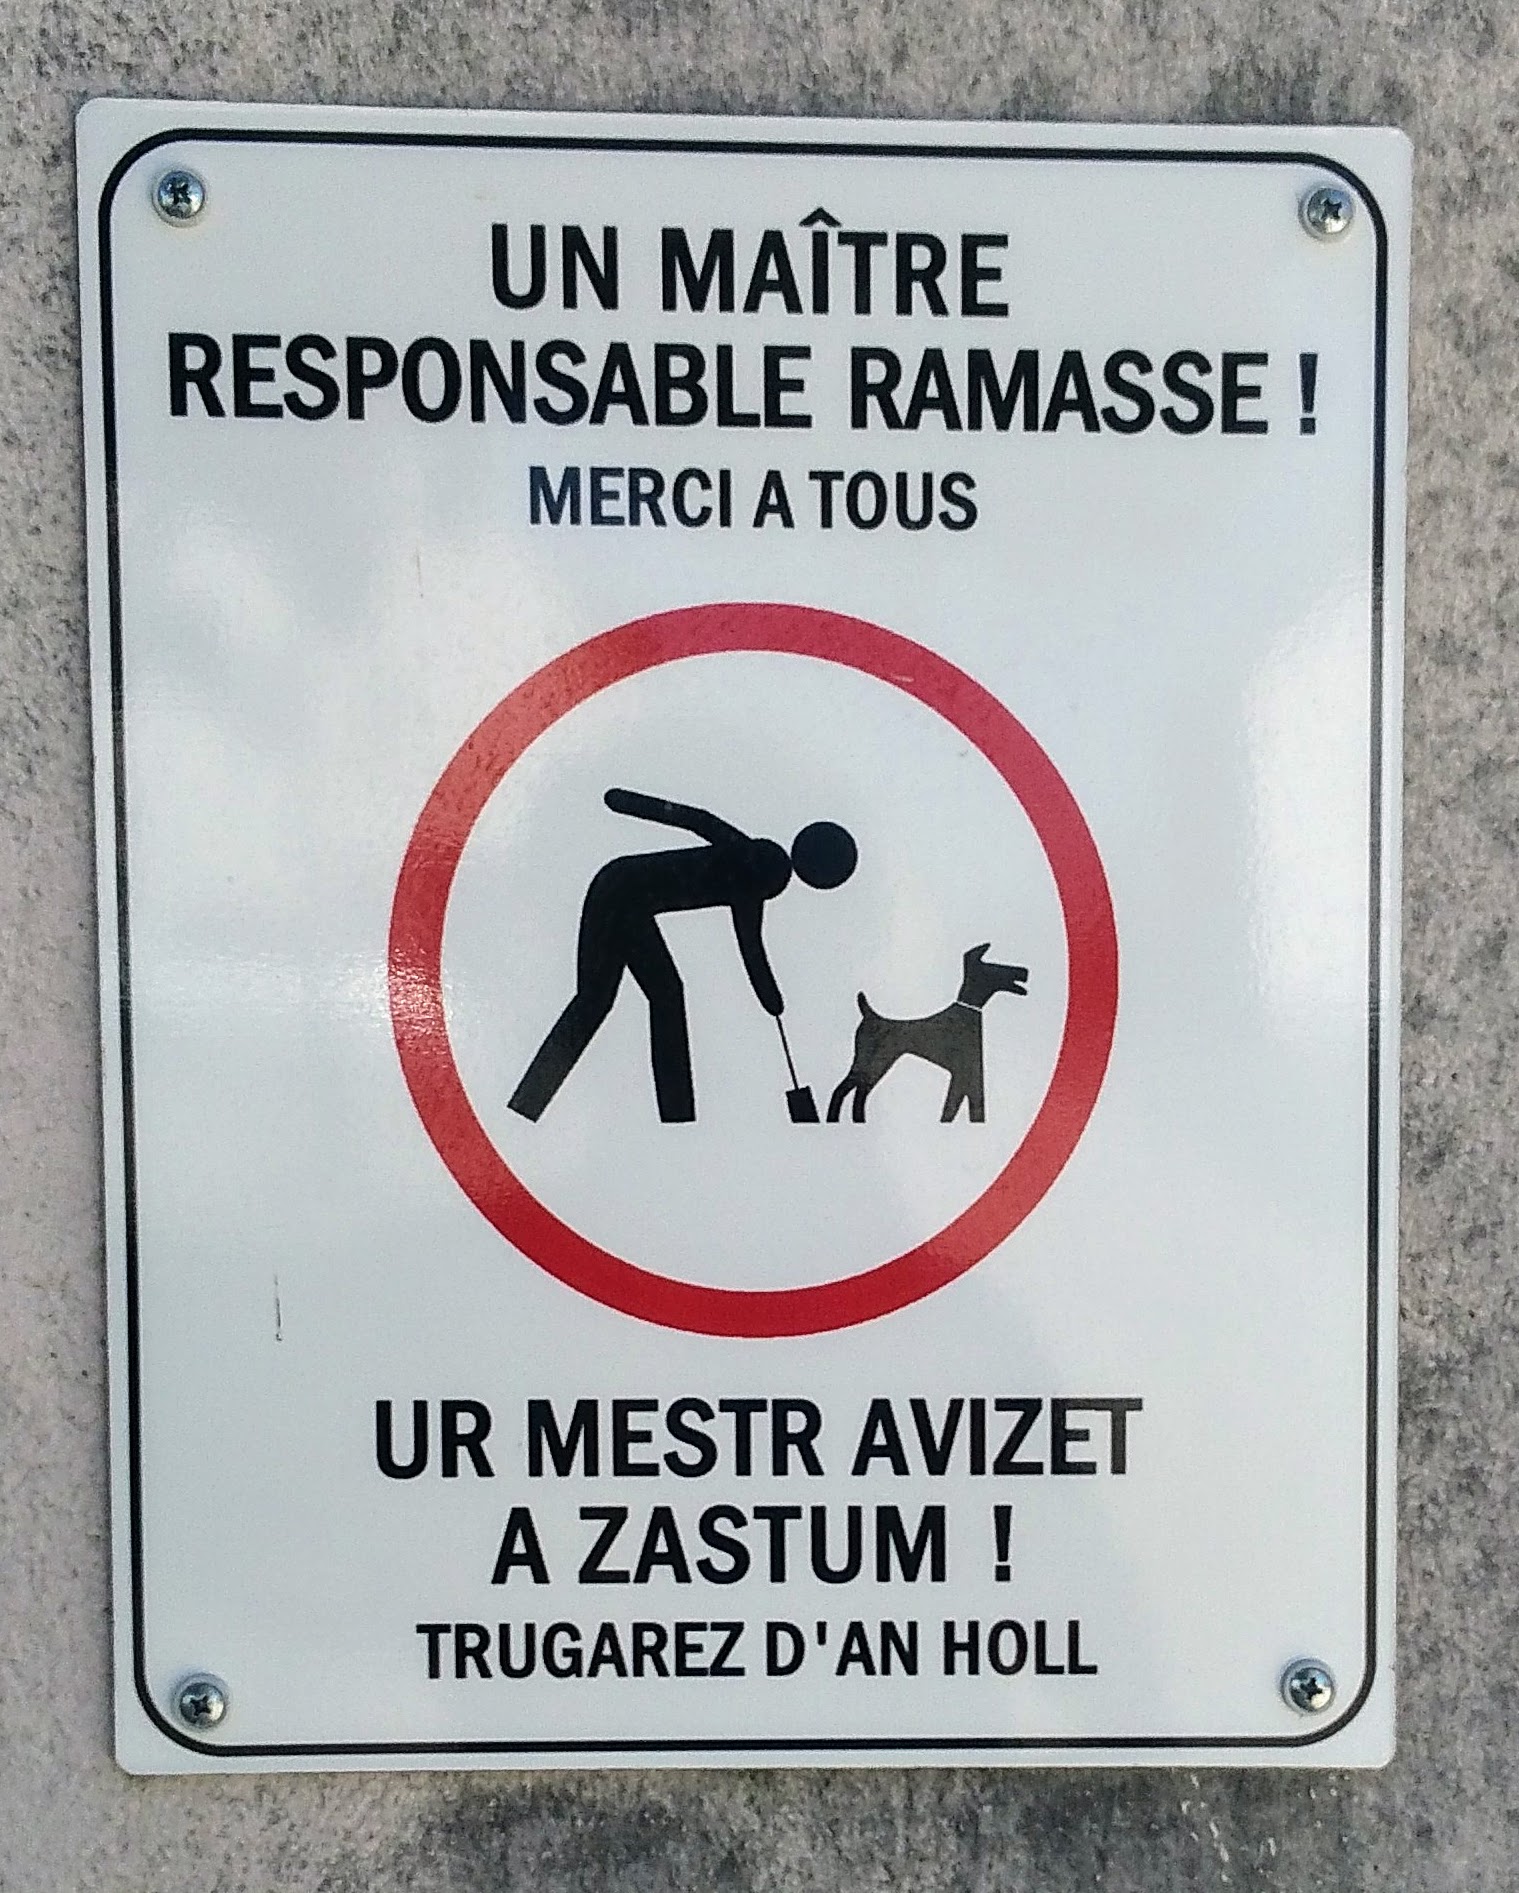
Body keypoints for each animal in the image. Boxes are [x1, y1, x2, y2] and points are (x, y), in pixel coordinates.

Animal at [826, 944, 1028, 1124]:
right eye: (993, 965)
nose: (1023, 971)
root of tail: (868, 1014)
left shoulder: (966, 1074)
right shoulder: (965, 1072)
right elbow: (956, 1106)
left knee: (853, 1091)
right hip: (875, 1061)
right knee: (850, 1090)